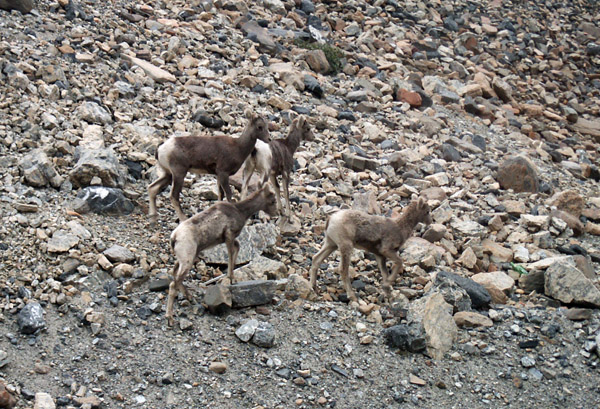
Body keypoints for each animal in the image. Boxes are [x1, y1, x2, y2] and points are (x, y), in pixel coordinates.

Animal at [164, 186, 276, 326]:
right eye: (273, 200)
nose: (276, 213)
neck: (240, 211)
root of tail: (174, 237)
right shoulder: (229, 235)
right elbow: (231, 253)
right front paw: (230, 278)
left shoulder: (230, 238)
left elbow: (237, 248)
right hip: (187, 261)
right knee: (173, 284)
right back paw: (170, 318)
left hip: (183, 259)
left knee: (174, 275)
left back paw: (190, 297)